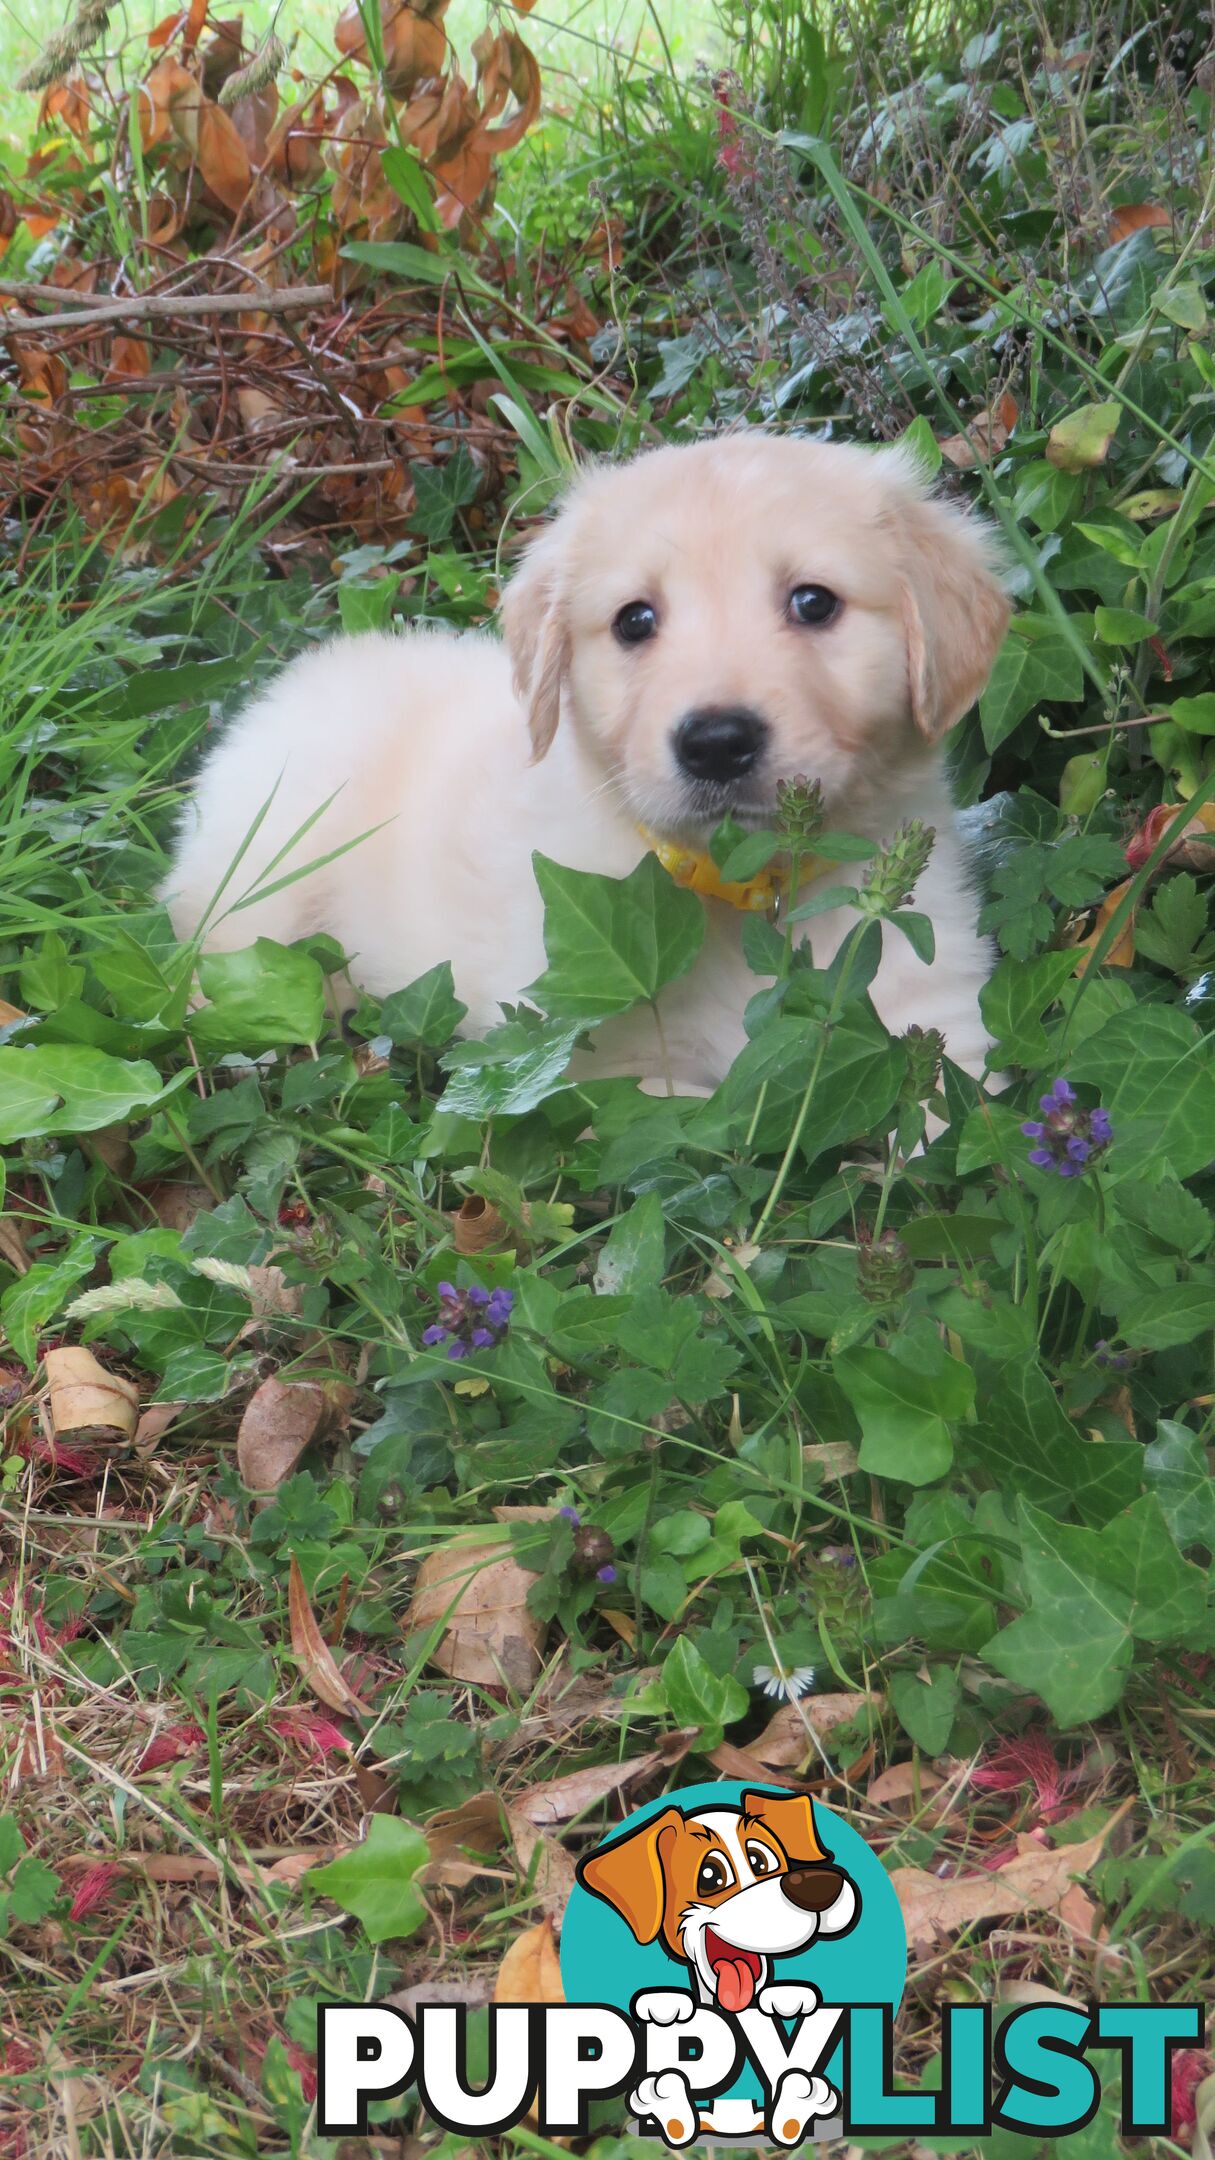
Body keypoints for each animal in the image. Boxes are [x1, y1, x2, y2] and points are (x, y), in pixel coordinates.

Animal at [165, 432, 1007, 1088]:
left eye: (813, 602)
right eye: (634, 621)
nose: (714, 743)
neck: (743, 890)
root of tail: (297, 679)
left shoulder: (934, 1019)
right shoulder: (585, 1059)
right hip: (266, 873)